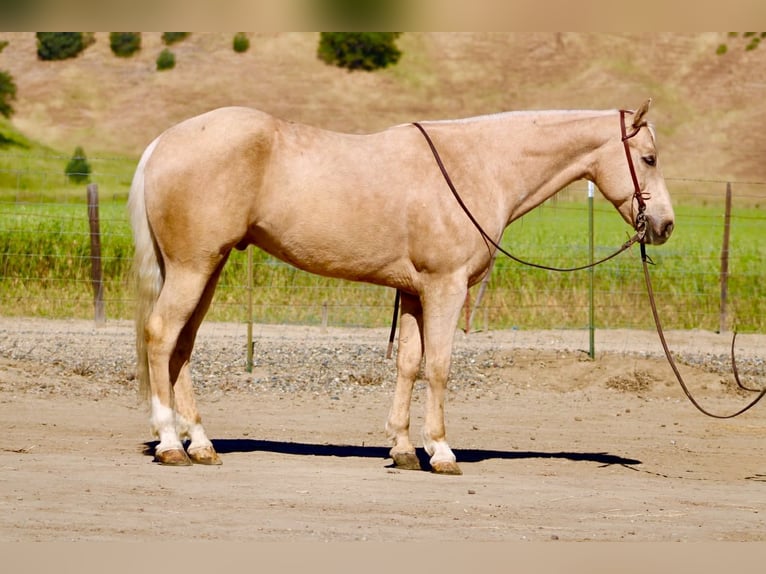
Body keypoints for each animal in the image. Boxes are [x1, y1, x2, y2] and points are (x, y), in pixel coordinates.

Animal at [128, 99, 674, 474]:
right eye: (648, 158)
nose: (665, 225)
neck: (477, 165)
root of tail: (162, 143)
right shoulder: (446, 288)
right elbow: (439, 367)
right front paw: (442, 451)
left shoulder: (414, 293)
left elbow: (409, 365)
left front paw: (404, 449)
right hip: (193, 267)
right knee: (161, 336)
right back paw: (172, 444)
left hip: (207, 268)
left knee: (182, 346)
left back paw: (200, 443)